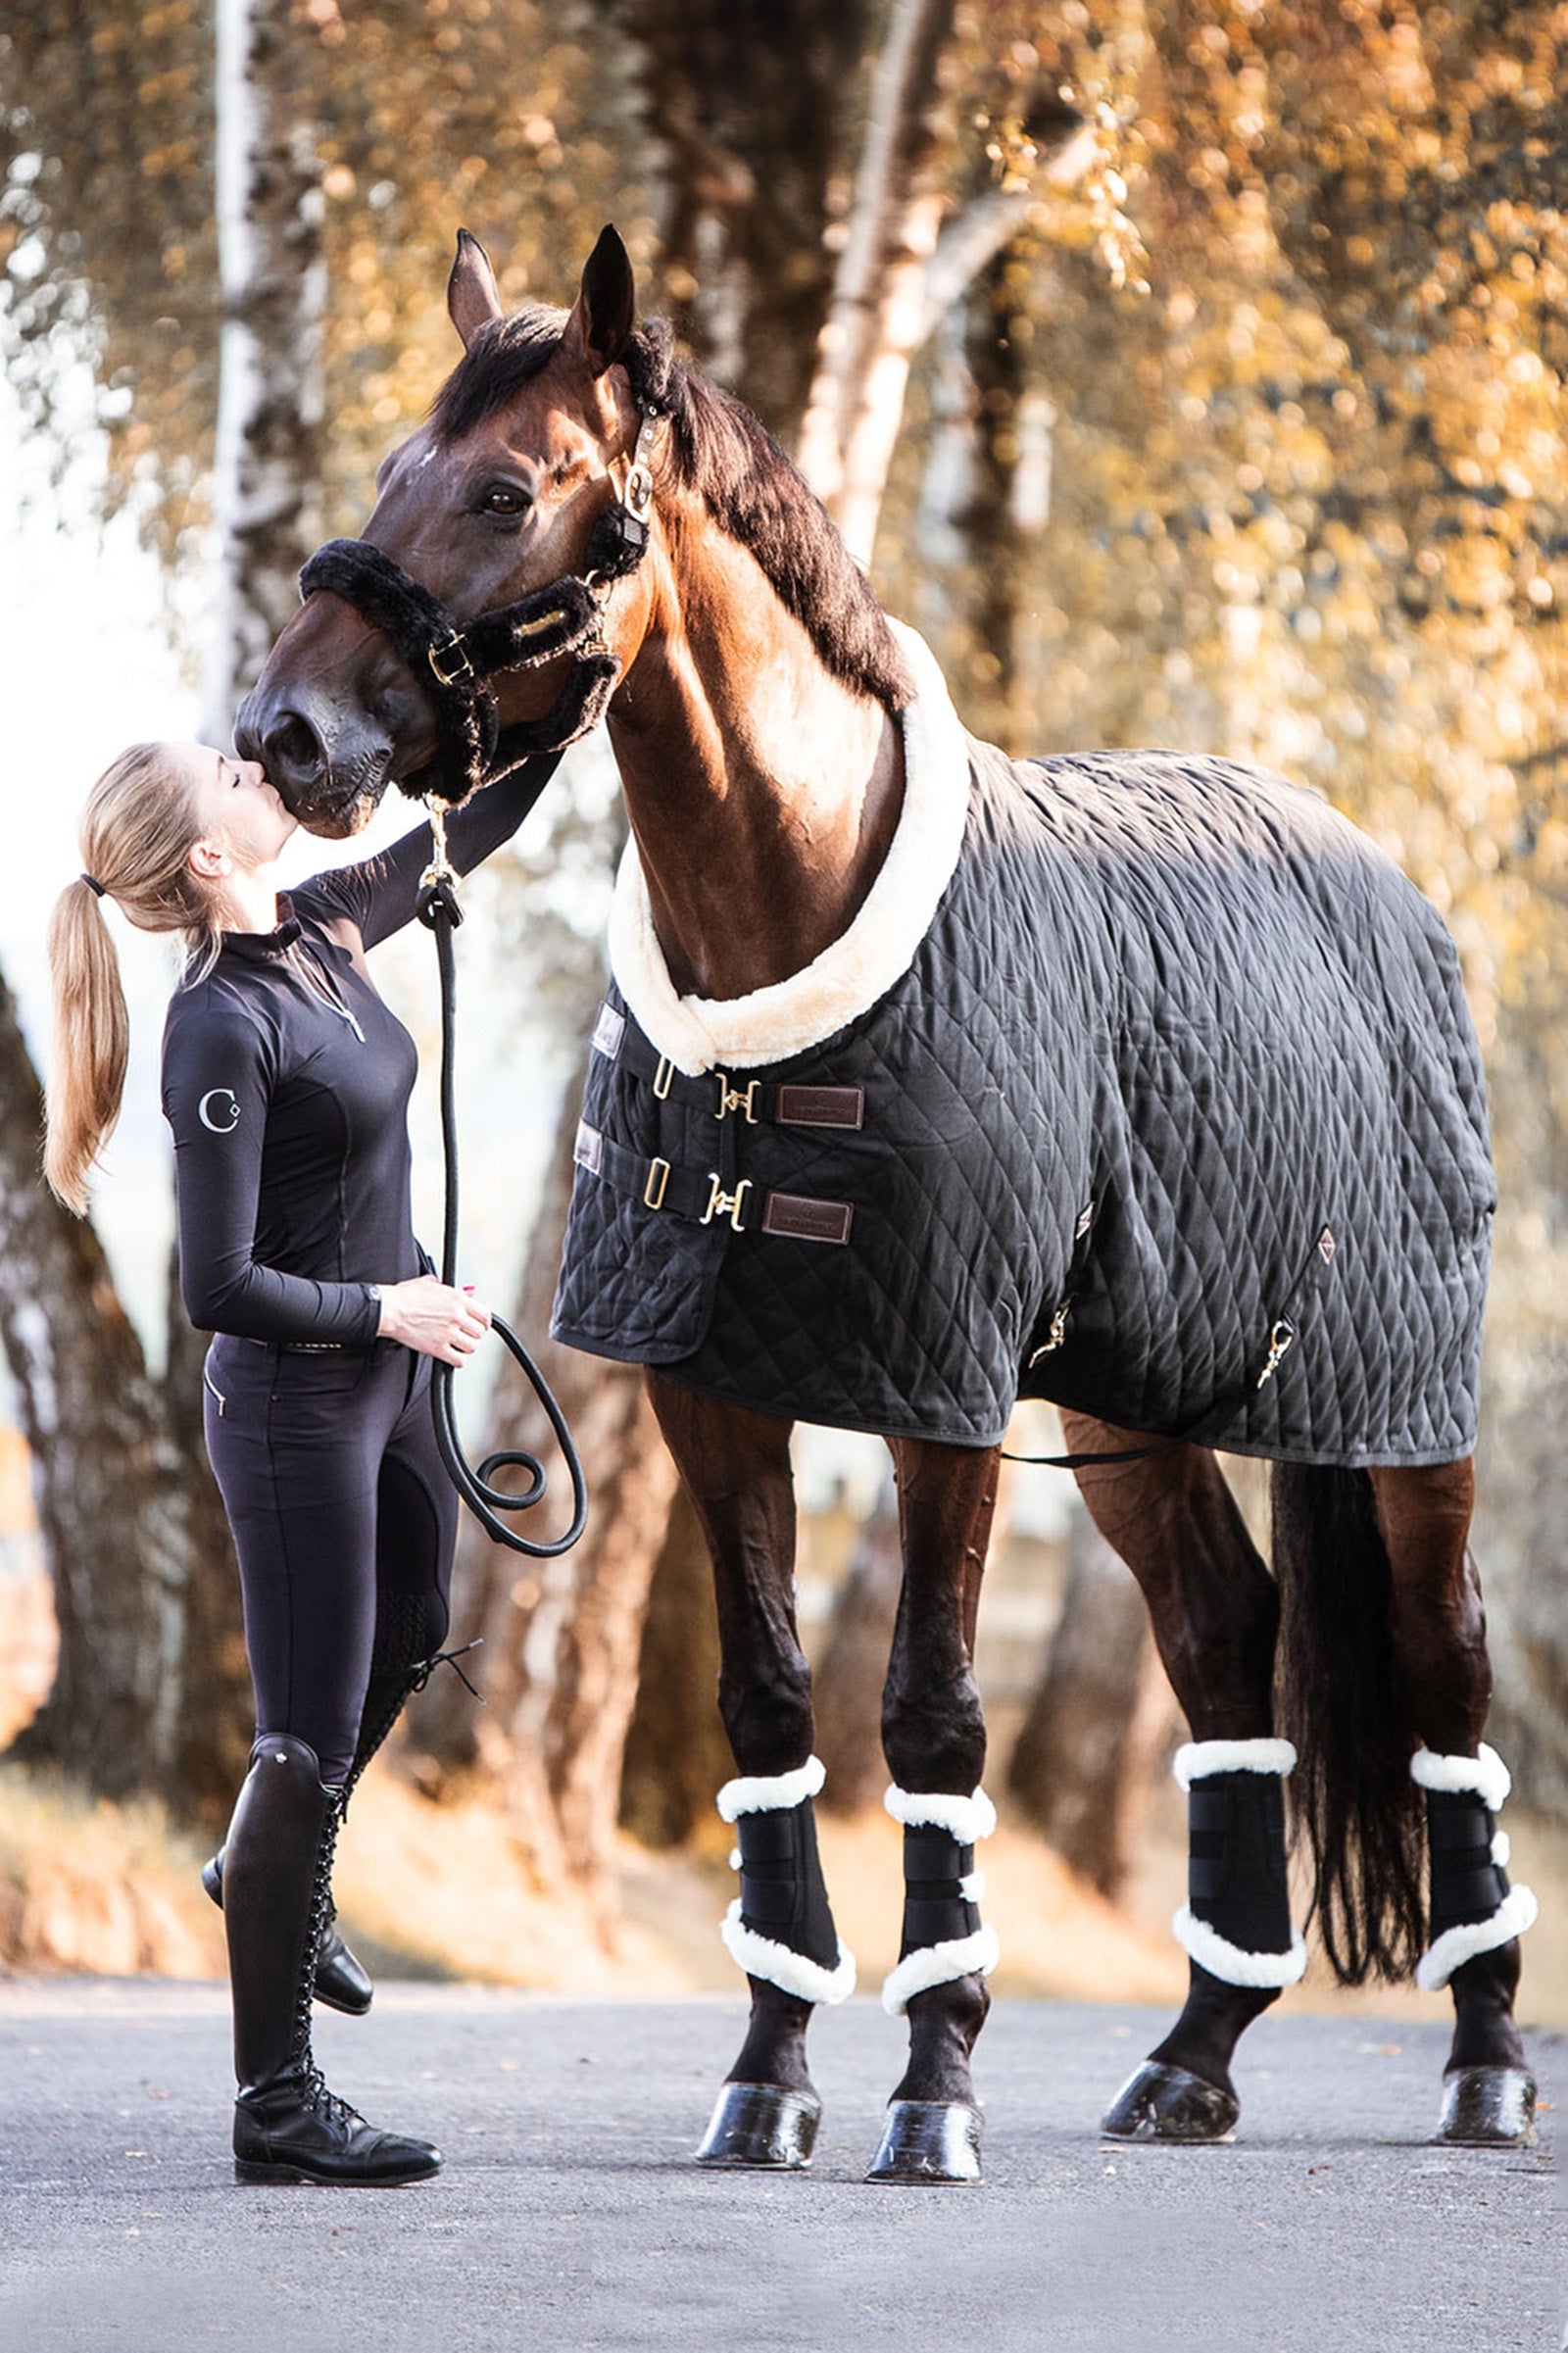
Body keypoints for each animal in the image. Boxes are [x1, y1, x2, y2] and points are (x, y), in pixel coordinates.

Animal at [236, 223, 1537, 2181]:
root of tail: (1387, 891)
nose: (285, 733)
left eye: (504, 488)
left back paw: (1483, 2062)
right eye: (394, 464)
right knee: (1226, 1648)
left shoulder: (940, 1396)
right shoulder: (714, 1395)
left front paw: (934, 2087)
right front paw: (768, 2074)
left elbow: (930, 1713)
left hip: (1400, 1412)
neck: (796, 920)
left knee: (1448, 1672)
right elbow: (771, 1700)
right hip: (1141, 1409)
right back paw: (1193, 2056)